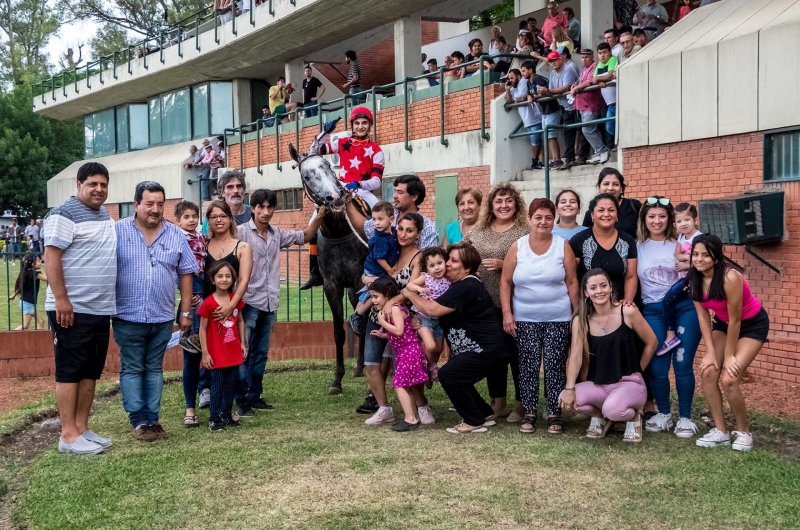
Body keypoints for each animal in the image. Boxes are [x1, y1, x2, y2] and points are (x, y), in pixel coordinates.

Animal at [290, 118, 372, 392]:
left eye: (328, 167)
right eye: (306, 174)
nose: (335, 198)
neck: (340, 231)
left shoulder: (359, 280)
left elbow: (362, 322)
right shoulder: (331, 285)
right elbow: (339, 330)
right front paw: (338, 379)